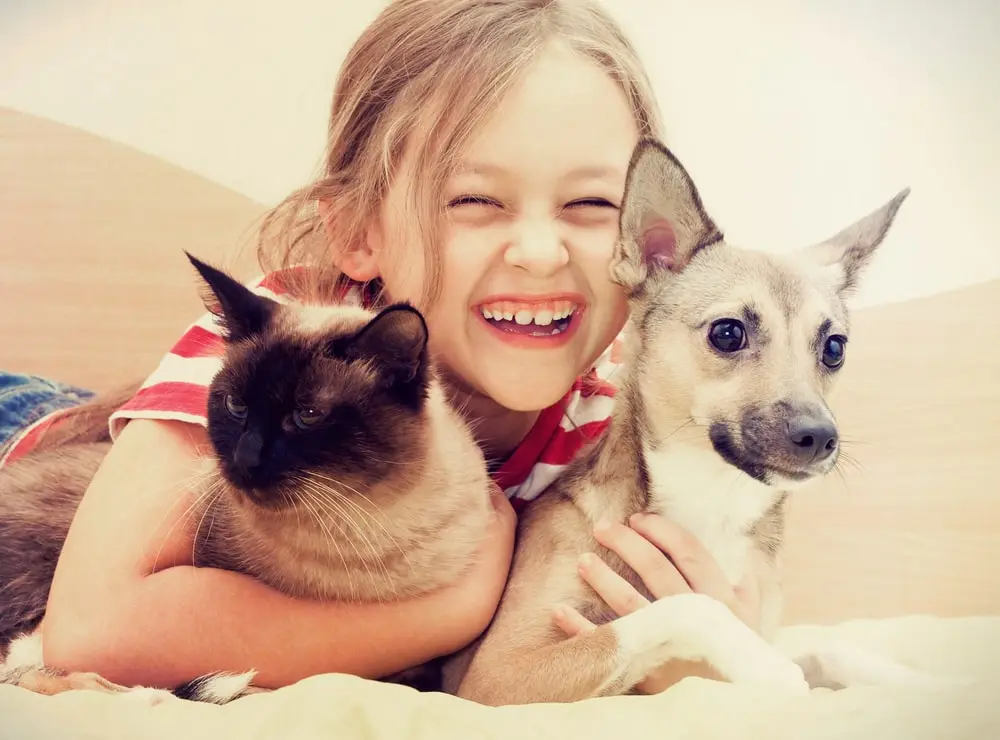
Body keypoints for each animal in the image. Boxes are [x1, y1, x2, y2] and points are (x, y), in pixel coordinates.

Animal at [442, 136, 924, 704]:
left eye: (834, 348)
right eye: (727, 333)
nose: (820, 438)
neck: (712, 499)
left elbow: (827, 647)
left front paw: (932, 683)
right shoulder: (495, 678)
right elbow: (687, 605)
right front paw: (768, 666)